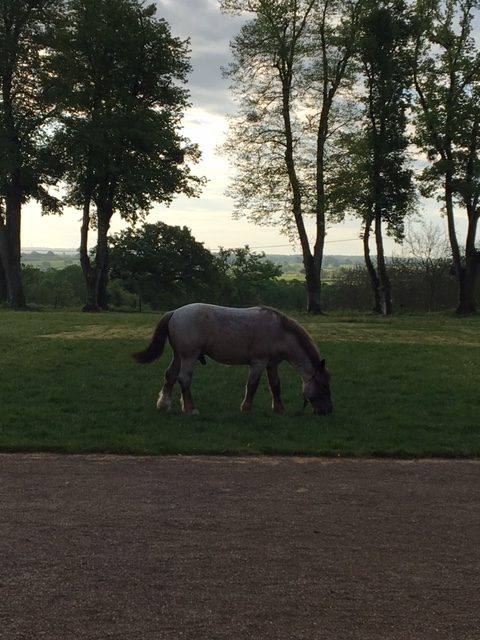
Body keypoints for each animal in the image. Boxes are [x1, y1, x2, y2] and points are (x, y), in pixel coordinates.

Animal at [131, 304, 334, 416]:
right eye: (324, 386)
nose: (327, 411)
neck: (280, 332)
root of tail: (174, 312)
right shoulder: (258, 363)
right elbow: (252, 386)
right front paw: (246, 408)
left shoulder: (272, 365)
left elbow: (275, 386)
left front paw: (279, 409)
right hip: (189, 356)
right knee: (184, 378)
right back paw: (190, 409)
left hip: (179, 356)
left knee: (170, 376)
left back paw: (163, 405)